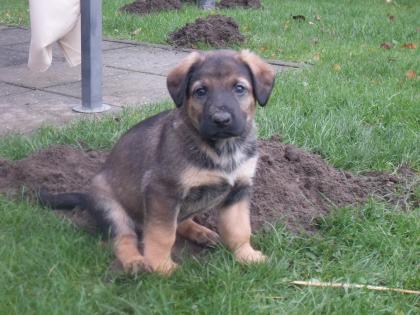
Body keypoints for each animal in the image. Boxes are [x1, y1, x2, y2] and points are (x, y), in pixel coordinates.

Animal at [39, 50, 276, 276]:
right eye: (201, 91)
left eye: (239, 88)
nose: (221, 120)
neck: (223, 150)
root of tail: (86, 197)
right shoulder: (163, 191)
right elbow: (162, 235)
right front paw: (161, 266)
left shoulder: (239, 190)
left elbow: (239, 229)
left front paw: (247, 256)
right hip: (112, 209)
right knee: (124, 238)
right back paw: (134, 262)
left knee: (181, 222)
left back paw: (202, 232)